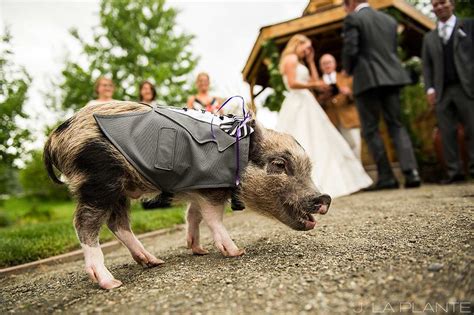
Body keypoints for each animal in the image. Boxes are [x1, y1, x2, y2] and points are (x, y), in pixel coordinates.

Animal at [44, 102, 332, 290]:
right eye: (280, 164)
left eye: (309, 168)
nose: (324, 198)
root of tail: (55, 137)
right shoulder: (210, 190)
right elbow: (214, 218)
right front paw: (236, 252)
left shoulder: (196, 190)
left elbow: (193, 215)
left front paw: (199, 250)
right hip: (99, 181)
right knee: (85, 224)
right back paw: (111, 283)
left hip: (119, 189)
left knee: (118, 224)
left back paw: (153, 262)